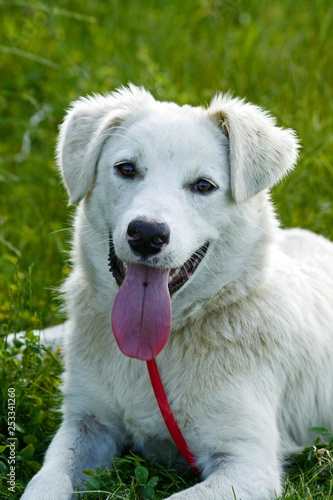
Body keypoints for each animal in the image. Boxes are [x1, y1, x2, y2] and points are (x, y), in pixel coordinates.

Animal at [21, 87, 332, 500]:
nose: (147, 234)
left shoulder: (246, 463)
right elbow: (45, 481)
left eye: (203, 186)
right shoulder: (86, 422)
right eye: (126, 169)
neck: (154, 352)